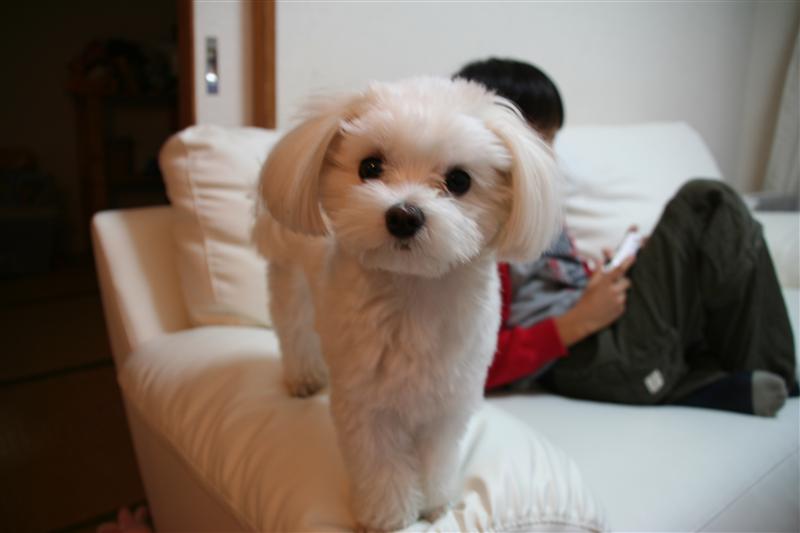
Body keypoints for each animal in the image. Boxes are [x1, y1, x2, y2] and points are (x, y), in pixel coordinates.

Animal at [254, 77, 560, 531]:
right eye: (370, 167)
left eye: (459, 180)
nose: (403, 216)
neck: (415, 292)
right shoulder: (368, 409)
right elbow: (382, 469)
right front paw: (389, 518)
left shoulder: (449, 400)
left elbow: (438, 457)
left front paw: (434, 504)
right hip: (290, 279)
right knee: (295, 332)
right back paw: (304, 377)